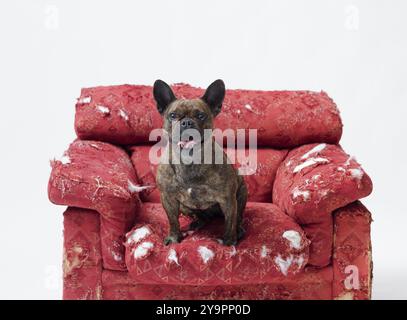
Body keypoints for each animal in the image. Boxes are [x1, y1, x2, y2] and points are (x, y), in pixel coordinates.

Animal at [153, 79, 249, 245]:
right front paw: (174, 237)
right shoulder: (167, 198)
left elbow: (230, 223)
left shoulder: (228, 199)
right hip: (185, 207)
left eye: (200, 115)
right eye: (173, 115)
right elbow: (173, 221)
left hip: (241, 193)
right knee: (202, 217)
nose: (186, 122)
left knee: (238, 217)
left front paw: (229, 242)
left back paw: (239, 230)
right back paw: (197, 222)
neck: (189, 159)